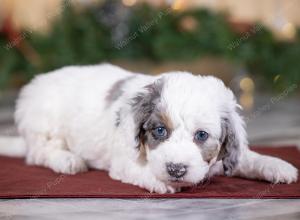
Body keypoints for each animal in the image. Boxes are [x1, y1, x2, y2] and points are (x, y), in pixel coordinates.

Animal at [0, 63, 298, 192]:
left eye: (201, 135)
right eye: (159, 131)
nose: (175, 170)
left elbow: (248, 156)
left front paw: (278, 166)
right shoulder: (123, 161)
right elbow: (140, 170)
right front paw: (162, 182)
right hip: (45, 122)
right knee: (38, 153)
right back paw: (67, 160)